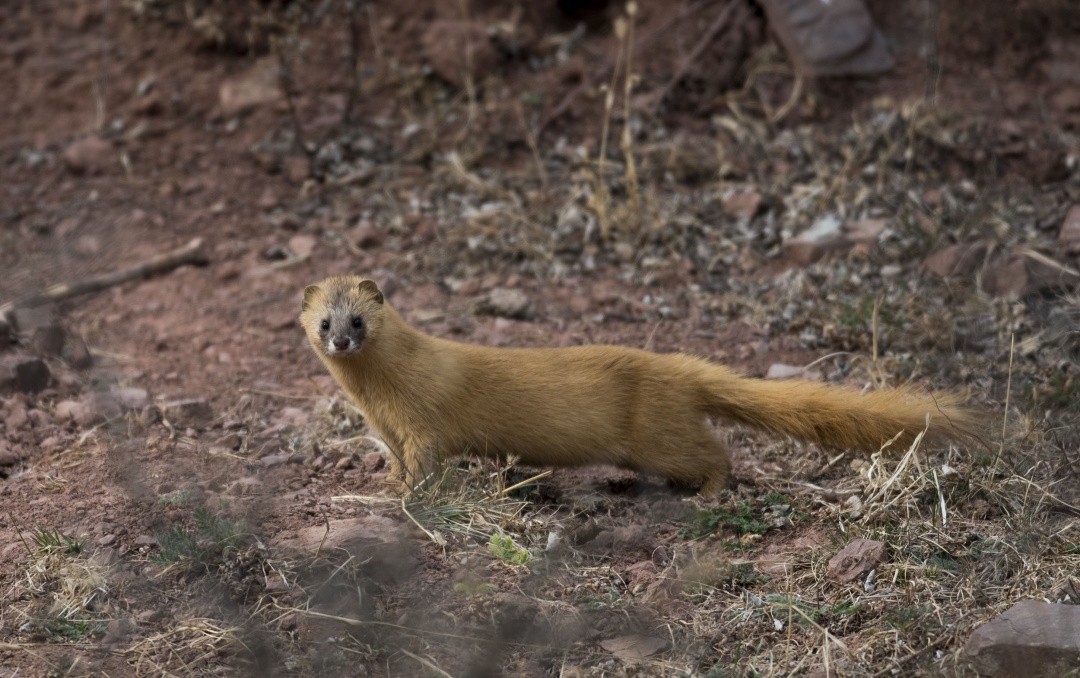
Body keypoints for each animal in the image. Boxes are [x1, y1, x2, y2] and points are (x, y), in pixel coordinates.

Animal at [300, 276, 984, 498]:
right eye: (323, 322)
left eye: (358, 321)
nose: (340, 343)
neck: (377, 396)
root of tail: (680, 368)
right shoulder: (386, 428)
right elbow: (396, 460)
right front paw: (383, 483)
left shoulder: (422, 421)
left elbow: (426, 462)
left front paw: (401, 496)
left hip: (658, 434)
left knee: (715, 452)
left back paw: (709, 493)